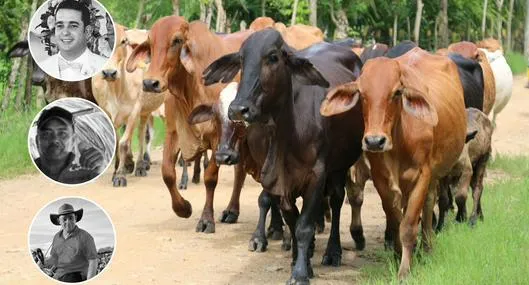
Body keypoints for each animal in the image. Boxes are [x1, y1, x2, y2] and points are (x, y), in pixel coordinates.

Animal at [127, 16, 253, 232]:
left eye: (177, 40)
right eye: (150, 42)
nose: (150, 83)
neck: (190, 88)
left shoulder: (218, 138)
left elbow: (210, 178)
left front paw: (206, 219)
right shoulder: (173, 131)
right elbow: (167, 173)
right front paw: (183, 208)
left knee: (240, 170)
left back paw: (232, 210)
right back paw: (231, 211)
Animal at [202, 30, 364, 282]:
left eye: (273, 57)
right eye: (241, 59)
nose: (239, 109)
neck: (286, 133)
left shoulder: (317, 175)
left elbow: (304, 226)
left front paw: (300, 273)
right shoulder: (274, 179)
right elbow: (291, 218)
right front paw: (299, 260)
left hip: (340, 167)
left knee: (337, 200)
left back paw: (333, 251)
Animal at [322, 48, 466, 278]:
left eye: (397, 92)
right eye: (362, 94)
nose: (374, 141)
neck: (399, 139)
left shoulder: (423, 175)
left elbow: (408, 225)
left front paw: (405, 271)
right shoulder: (380, 178)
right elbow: (395, 220)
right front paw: (399, 256)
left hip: (433, 175)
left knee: (428, 206)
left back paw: (427, 248)